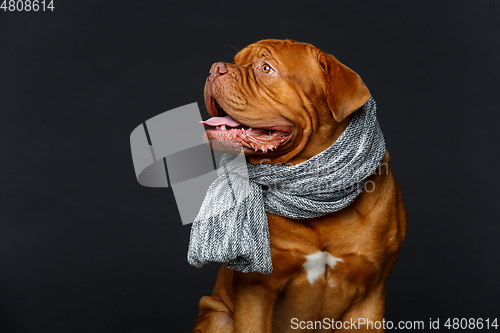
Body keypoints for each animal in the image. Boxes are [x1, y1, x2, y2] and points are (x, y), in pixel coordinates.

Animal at [191, 39, 406, 332]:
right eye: (236, 60)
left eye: (266, 68)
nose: (215, 68)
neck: (316, 194)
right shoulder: (255, 290)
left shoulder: (369, 297)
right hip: (217, 316)